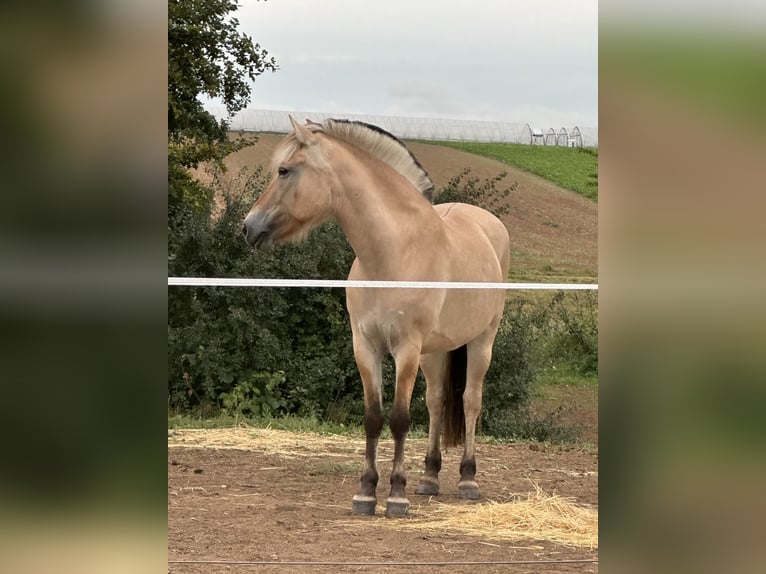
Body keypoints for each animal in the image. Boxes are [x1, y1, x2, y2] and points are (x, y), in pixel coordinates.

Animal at [243, 116, 512, 516]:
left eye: (284, 170)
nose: (248, 227)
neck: (393, 253)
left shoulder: (406, 350)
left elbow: (399, 419)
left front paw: (396, 495)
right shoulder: (365, 347)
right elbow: (373, 418)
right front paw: (366, 492)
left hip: (481, 342)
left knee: (470, 402)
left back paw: (467, 479)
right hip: (435, 352)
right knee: (436, 402)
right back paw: (429, 477)